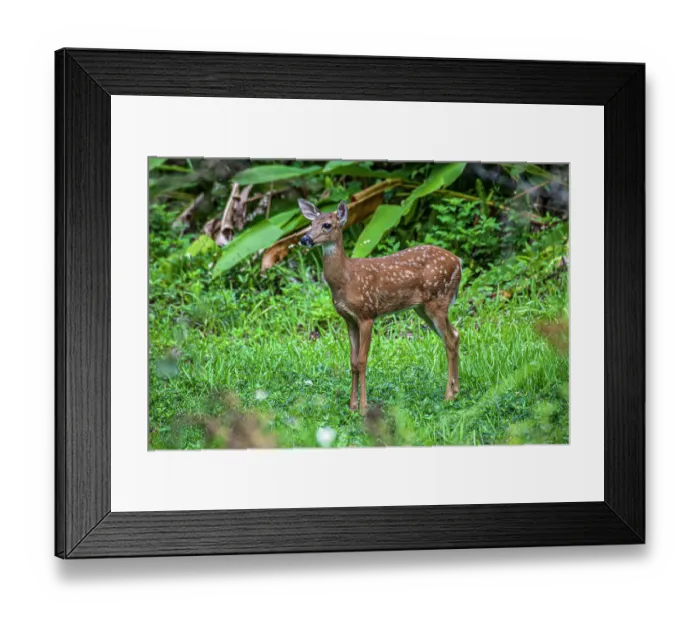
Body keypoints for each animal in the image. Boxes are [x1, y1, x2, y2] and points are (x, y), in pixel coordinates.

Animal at [298, 198, 462, 415]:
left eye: (327, 225)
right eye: (310, 224)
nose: (305, 239)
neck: (345, 279)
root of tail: (459, 262)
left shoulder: (367, 314)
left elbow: (362, 361)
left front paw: (363, 408)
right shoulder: (349, 319)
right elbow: (352, 361)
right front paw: (351, 406)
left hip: (438, 300)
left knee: (449, 341)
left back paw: (448, 396)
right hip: (423, 307)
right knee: (455, 334)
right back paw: (457, 390)